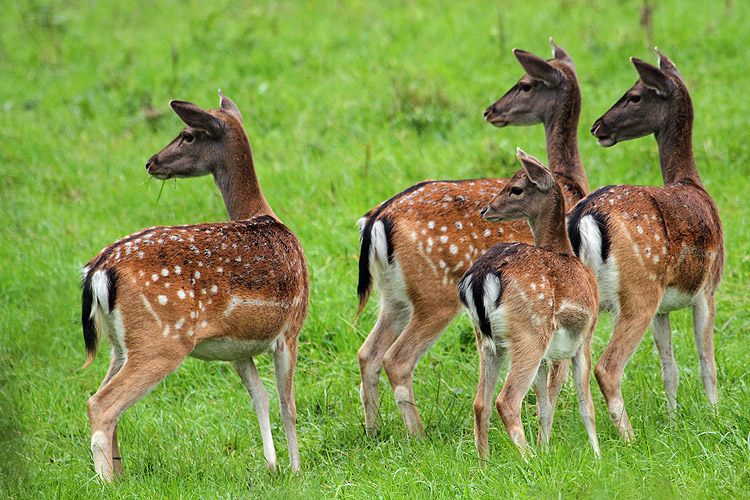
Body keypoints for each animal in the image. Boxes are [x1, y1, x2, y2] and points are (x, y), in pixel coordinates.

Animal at [79, 91, 308, 480]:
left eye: (187, 135)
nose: (151, 162)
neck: (265, 215)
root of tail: (98, 271)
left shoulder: (238, 345)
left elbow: (260, 398)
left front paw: (272, 465)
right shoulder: (290, 328)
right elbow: (286, 404)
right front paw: (295, 469)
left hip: (119, 344)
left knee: (105, 399)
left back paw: (120, 475)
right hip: (162, 340)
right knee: (101, 403)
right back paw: (108, 483)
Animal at [356, 40, 592, 438]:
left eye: (524, 84)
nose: (491, 110)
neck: (570, 182)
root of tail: (376, 220)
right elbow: (556, 372)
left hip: (394, 297)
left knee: (367, 353)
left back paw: (375, 432)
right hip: (434, 296)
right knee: (397, 359)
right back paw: (419, 436)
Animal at [458, 148, 600, 460]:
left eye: (516, 188)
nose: (485, 210)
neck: (567, 252)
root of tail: (481, 278)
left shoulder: (551, 354)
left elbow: (544, 405)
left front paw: (545, 446)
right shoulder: (585, 336)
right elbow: (585, 404)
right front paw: (598, 455)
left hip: (487, 341)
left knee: (480, 402)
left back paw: (485, 463)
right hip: (530, 332)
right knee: (507, 400)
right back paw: (529, 460)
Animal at [568, 50, 724, 440]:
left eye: (635, 95)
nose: (597, 126)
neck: (692, 183)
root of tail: (583, 219)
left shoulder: (663, 309)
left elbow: (671, 369)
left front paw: (672, 419)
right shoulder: (708, 287)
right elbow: (707, 361)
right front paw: (715, 416)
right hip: (639, 289)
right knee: (607, 367)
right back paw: (628, 436)